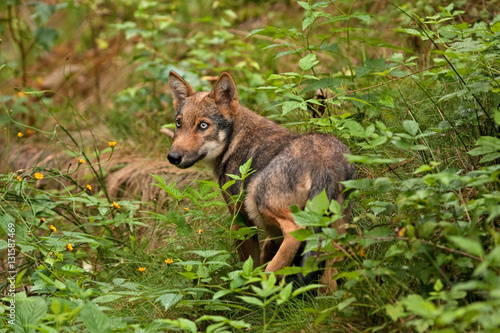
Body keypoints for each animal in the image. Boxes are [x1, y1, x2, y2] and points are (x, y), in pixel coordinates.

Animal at [168, 71, 356, 290]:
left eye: (203, 125)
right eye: (179, 123)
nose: (173, 157)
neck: (235, 140)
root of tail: (324, 161)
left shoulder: (240, 221)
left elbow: (249, 262)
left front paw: (245, 288)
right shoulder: (270, 231)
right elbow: (267, 248)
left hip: (259, 200)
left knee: (294, 233)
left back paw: (264, 285)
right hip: (335, 233)